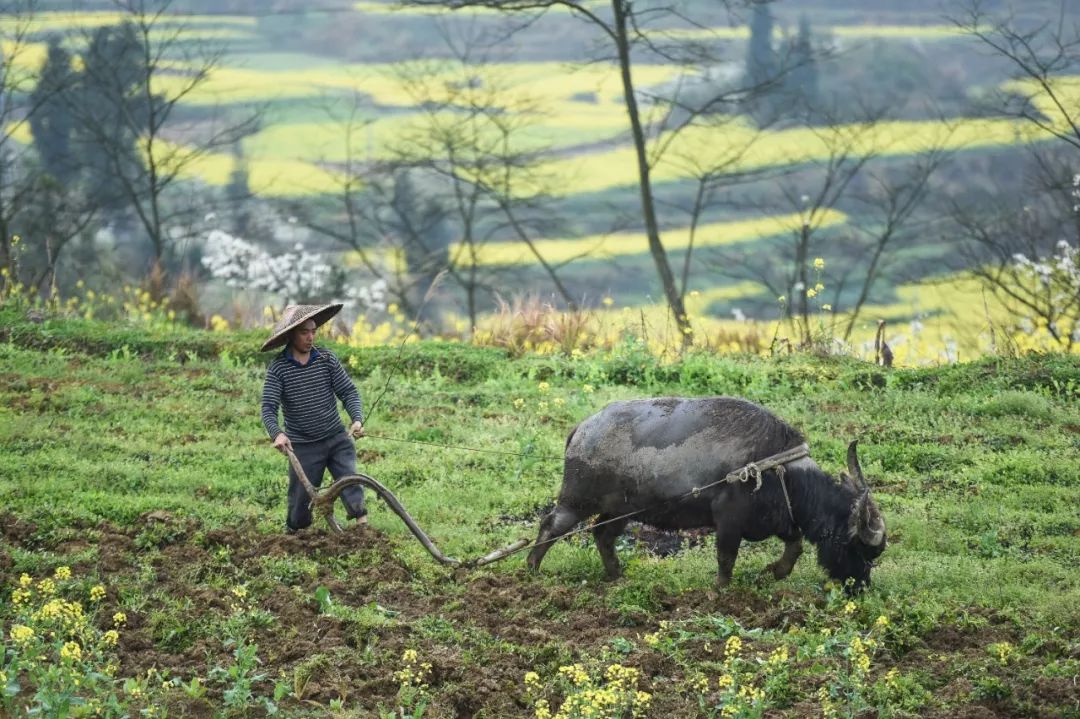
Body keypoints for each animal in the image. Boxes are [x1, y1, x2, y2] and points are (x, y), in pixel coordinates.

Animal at [524, 397, 885, 587]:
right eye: (858, 548)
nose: (861, 586)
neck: (776, 469)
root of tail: (582, 429)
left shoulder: (780, 518)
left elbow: (794, 546)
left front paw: (774, 571)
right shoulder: (728, 521)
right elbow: (726, 558)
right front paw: (721, 590)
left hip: (620, 510)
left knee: (603, 535)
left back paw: (616, 575)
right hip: (577, 500)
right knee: (551, 526)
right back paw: (531, 570)